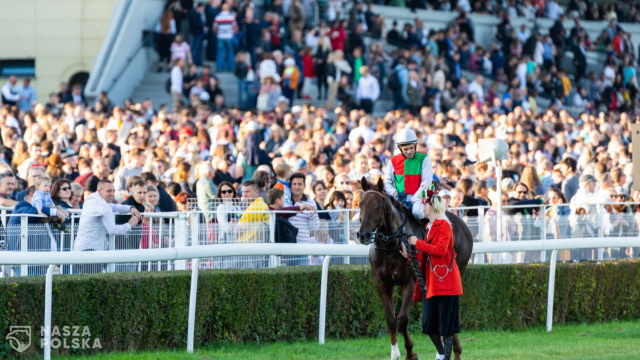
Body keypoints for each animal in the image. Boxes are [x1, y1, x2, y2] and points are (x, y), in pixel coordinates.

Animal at [358, 179, 472, 360]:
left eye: (378, 207)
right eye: (360, 204)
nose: (362, 234)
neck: (391, 246)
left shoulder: (410, 282)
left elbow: (402, 319)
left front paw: (411, 352)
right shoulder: (381, 283)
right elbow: (391, 319)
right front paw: (395, 352)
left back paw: (453, 349)